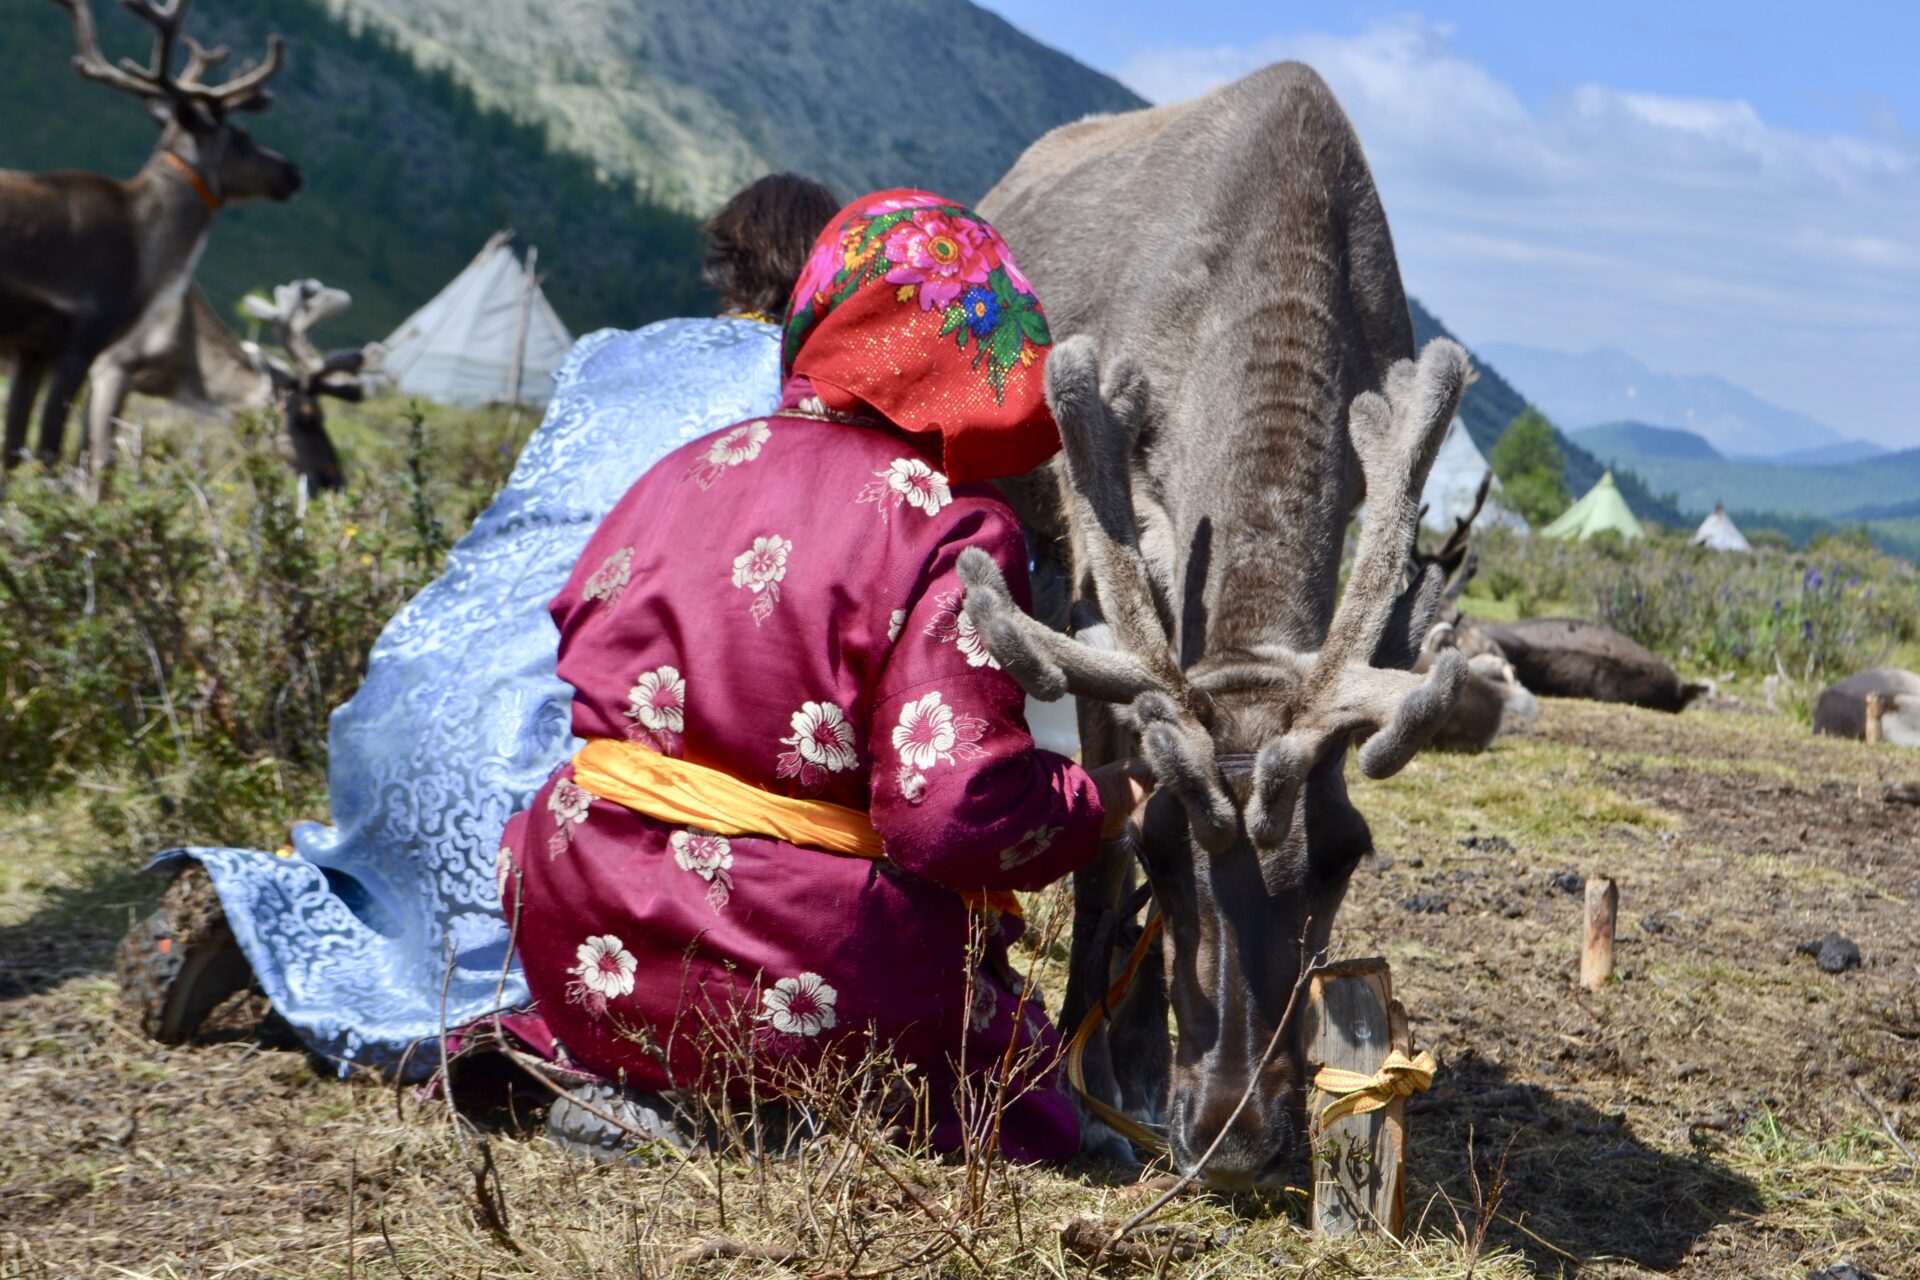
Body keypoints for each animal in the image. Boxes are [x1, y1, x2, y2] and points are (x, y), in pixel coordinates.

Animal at [1, 0, 301, 485]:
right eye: (240, 137)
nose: (293, 173)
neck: (149, 251)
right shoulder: (82, 341)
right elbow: (49, 449)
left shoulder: (33, 351)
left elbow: (12, 450)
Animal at [966, 62, 1469, 1186]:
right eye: (1163, 849)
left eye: (1346, 853)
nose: (1236, 1137)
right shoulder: (1097, 592)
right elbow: (1098, 861)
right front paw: (1102, 1094)